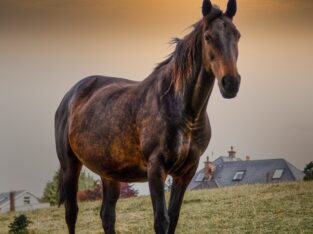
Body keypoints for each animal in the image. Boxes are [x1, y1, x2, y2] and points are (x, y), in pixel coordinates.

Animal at [54, 0, 240, 233]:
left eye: (237, 35)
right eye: (208, 37)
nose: (231, 83)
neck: (184, 111)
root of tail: (69, 97)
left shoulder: (185, 172)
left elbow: (173, 217)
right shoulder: (156, 168)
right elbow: (161, 220)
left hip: (109, 173)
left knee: (107, 216)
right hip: (70, 166)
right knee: (71, 213)